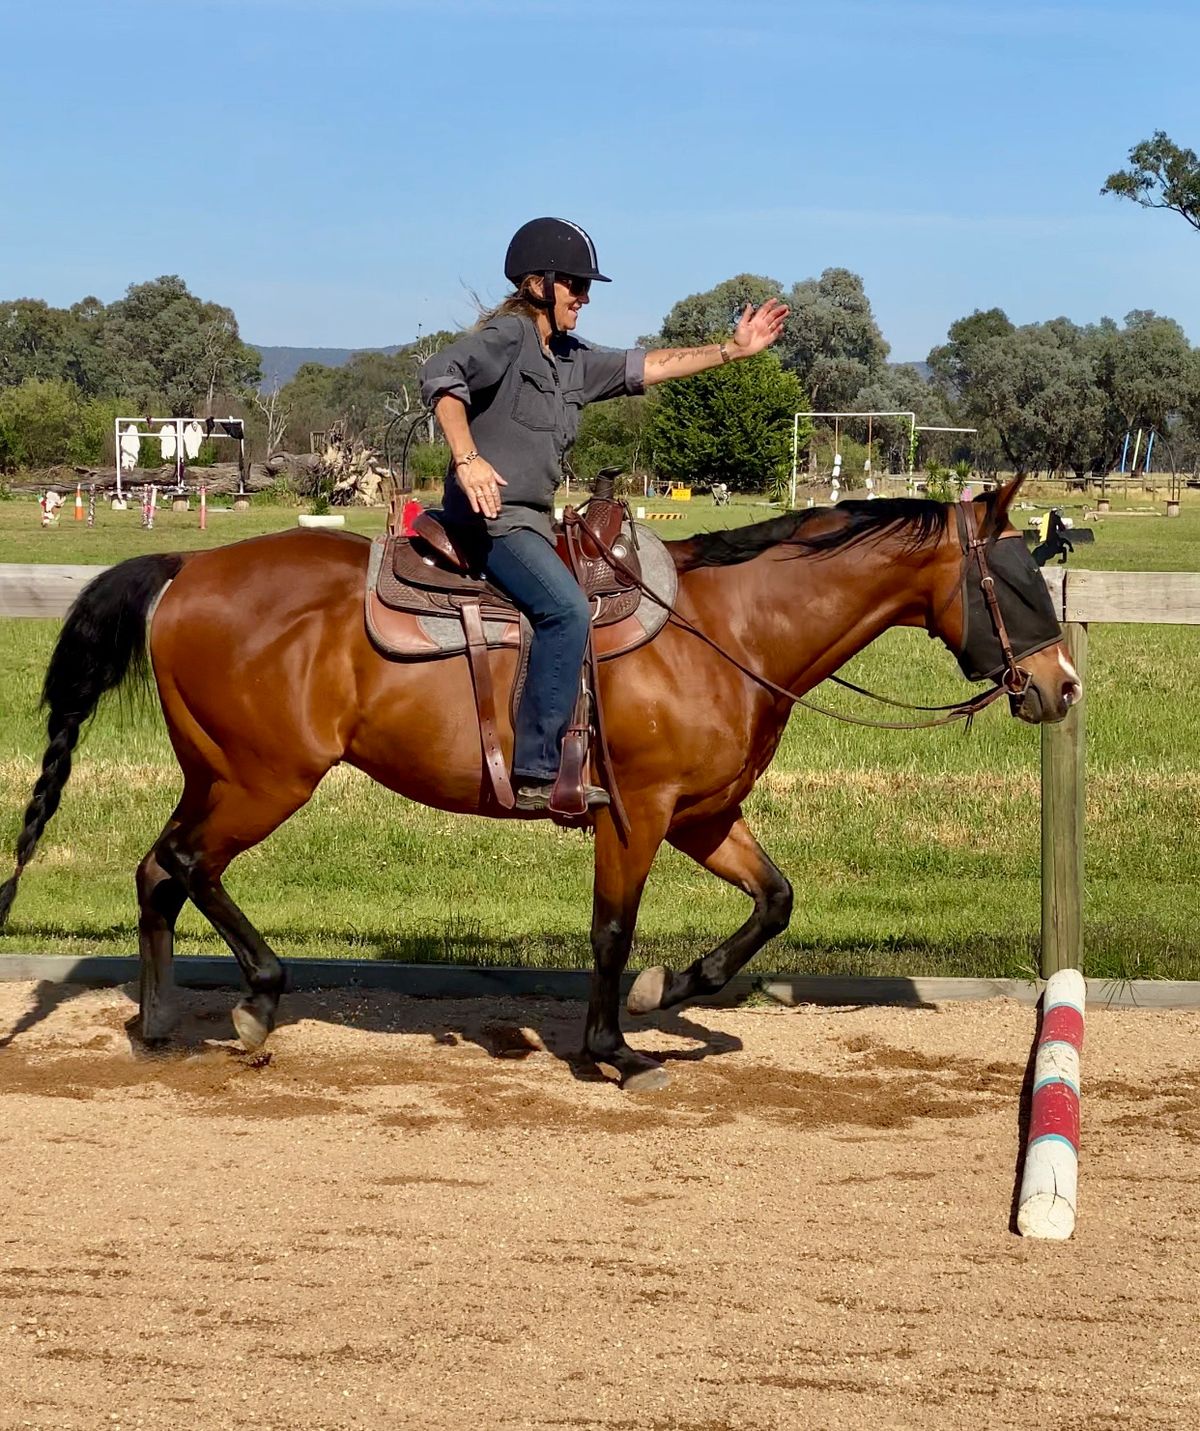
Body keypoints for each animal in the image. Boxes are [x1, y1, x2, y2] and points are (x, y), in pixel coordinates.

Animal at [0, 483, 1081, 1093]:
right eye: (1018, 581)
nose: (1062, 686)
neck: (728, 629)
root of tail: (187, 566)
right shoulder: (637, 815)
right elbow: (611, 930)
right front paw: (614, 1047)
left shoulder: (706, 815)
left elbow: (774, 900)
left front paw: (673, 987)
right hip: (265, 779)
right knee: (185, 864)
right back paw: (250, 1000)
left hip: (222, 774)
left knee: (159, 870)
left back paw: (162, 1024)